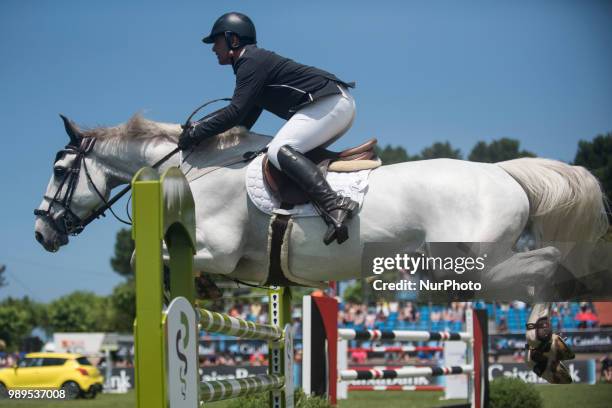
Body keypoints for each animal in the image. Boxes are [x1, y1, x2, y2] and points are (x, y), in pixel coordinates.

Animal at [34, 115, 608, 386]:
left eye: (60, 171)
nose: (42, 233)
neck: (192, 169)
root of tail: (503, 172)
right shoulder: (246, 265)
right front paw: (206, 291)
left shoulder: (217, 249)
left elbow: (142, 259)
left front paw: (195, 288)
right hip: (460, 268)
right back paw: (551, 352)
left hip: (478, 264)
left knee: (546, 267)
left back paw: (543, 349)